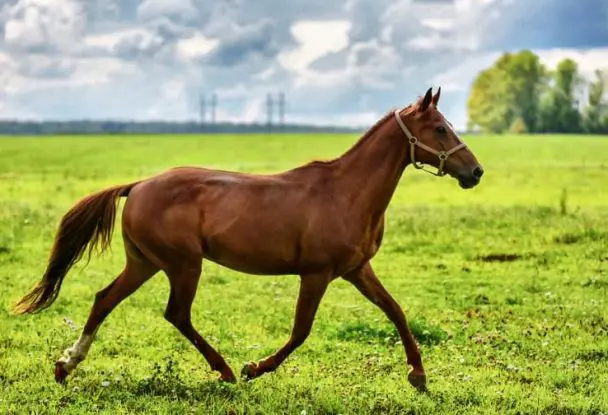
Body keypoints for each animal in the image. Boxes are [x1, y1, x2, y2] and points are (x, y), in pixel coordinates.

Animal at [10, 86, 484, 392]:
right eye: (440, 129)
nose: (475, 171)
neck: (347, 192)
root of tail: (139, 185)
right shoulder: (316, 274)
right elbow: (301, 331)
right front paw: (256, 367)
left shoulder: (356, 270)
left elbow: (396, 311)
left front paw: (418, 376)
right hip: (183, 264)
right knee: (175, 313)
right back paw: (225, 370)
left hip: (145, 262)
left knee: (105, 299)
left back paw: (65, 365)